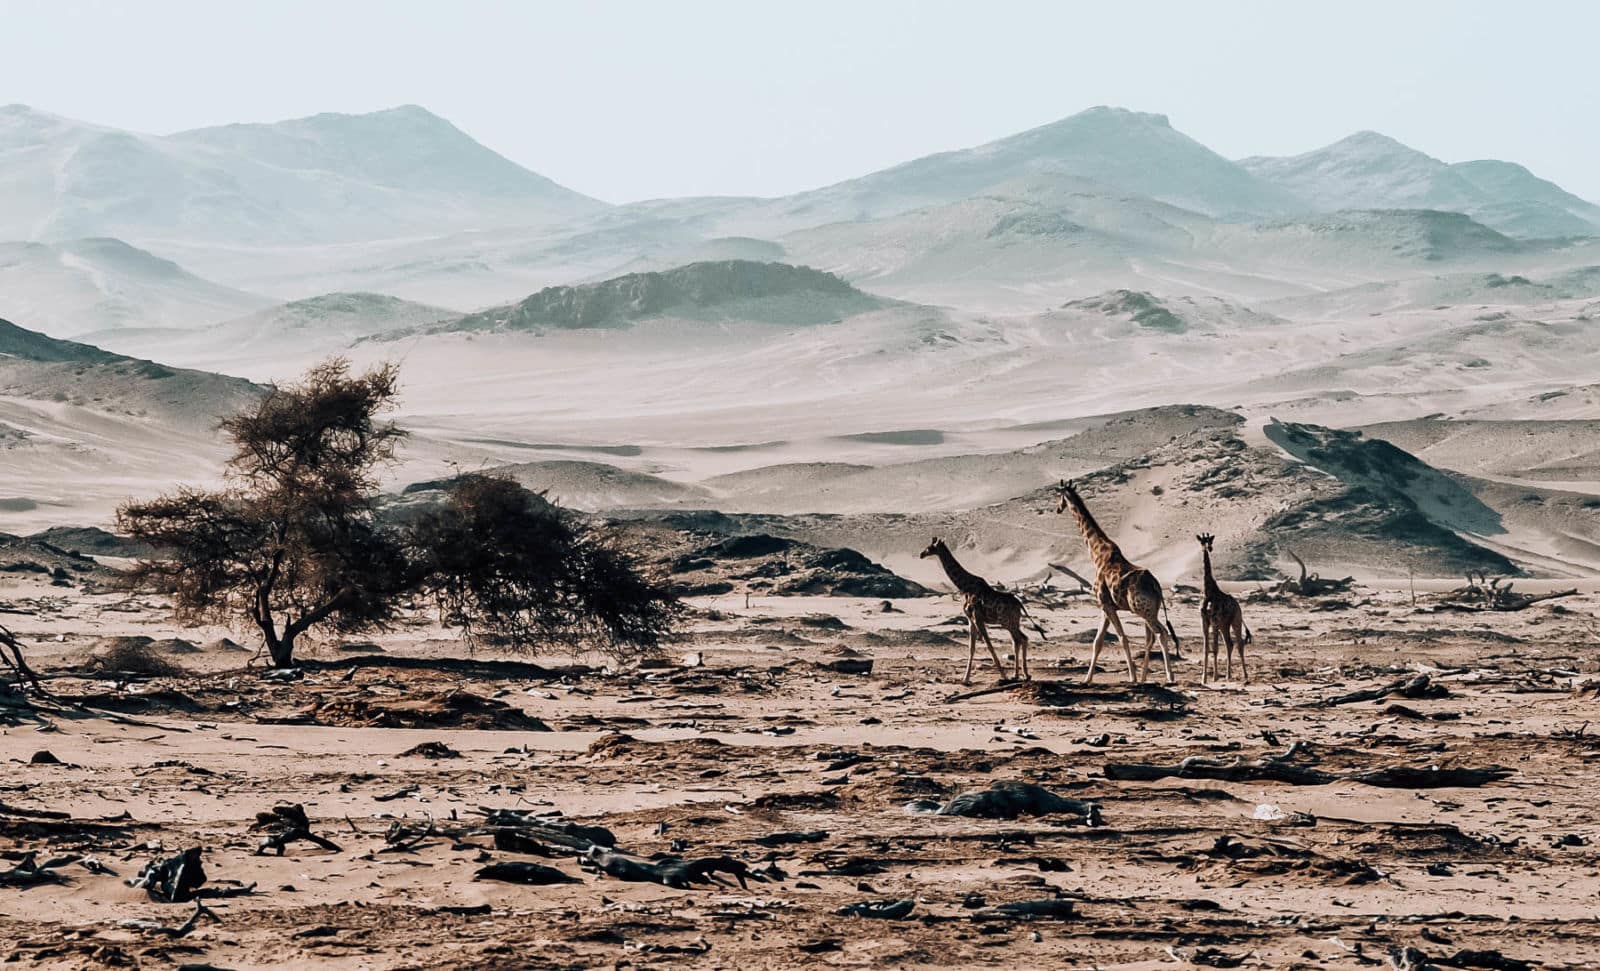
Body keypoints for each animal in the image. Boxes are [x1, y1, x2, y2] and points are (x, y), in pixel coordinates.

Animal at [918, 537, 1032, 684]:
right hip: (1011, 623)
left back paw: (1025, 675)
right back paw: (1018, 675)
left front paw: (1003, 676)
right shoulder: (970, 619)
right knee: (1018, 640)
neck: (965, 587)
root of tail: (1020, 604)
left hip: (1008, 622)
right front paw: (965, 679)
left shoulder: (978, 617)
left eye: (929, 547)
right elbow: (971, 648)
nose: (921, 554)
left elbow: (989, 645)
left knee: (1021, 639)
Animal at [1053, 479, 1179, 684]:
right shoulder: (1106, 606)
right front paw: (1087, 679)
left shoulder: (1105, 604)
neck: (1096, 554)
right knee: (1152, 637)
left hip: (1142, 610)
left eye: (1059, 495)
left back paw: (1169, 676)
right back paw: (1146, 677)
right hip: (1151, 610)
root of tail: (1156, 586)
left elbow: (1122, 638)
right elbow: (1097, 642)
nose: (1057, 508)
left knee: (1161, 633)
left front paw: (1132, 677)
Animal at [1197, 533, 1251, 683]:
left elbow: (1215, 648)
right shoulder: (1205, 621)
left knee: (1239, 644)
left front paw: (1214, 677)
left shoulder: (1215, 620)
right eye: (1202, 541)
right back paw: (1228, 675)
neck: (1208, 592)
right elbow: (1206, 648)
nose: (1208, 548)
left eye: (1210, 541)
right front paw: (1203, 678)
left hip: (1235, 620)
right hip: (1224, 625)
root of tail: (1238, 606)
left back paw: (1245, 675)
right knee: (1229, 644)